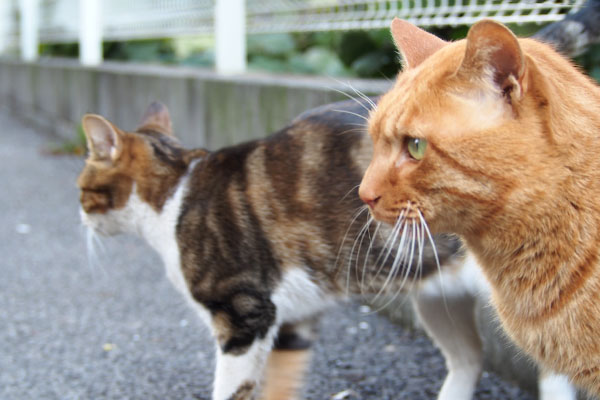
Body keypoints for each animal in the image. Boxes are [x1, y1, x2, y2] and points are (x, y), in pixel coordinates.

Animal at [75, 97, 460, 400]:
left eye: (80, 189)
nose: (80, 217)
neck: (173, 192)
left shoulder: (243, 315)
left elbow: (232, 389)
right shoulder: (296, 314)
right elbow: (281, 382)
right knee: (466, 360)